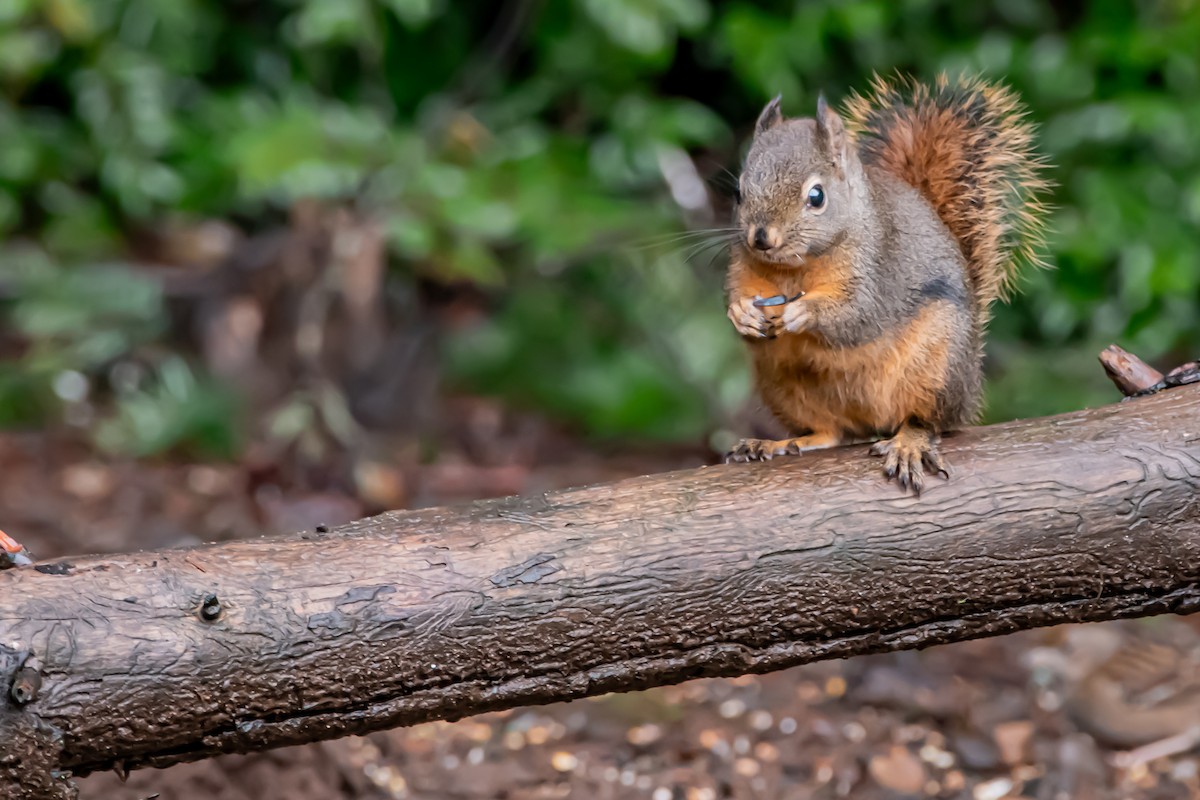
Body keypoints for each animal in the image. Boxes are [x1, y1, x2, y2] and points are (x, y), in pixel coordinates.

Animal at [723, 74, 1051, 493]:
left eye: (817, 196)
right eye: (738, 192)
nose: (762, 237)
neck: (794, 268)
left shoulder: (879, 272)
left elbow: (858, 316)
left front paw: (802, 312)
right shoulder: (743, 268)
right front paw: (741, 315)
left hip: (936, 368)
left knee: (928, 421)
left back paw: (909, 442)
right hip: (783, 386)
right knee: (832, 432)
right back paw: (779, 443)